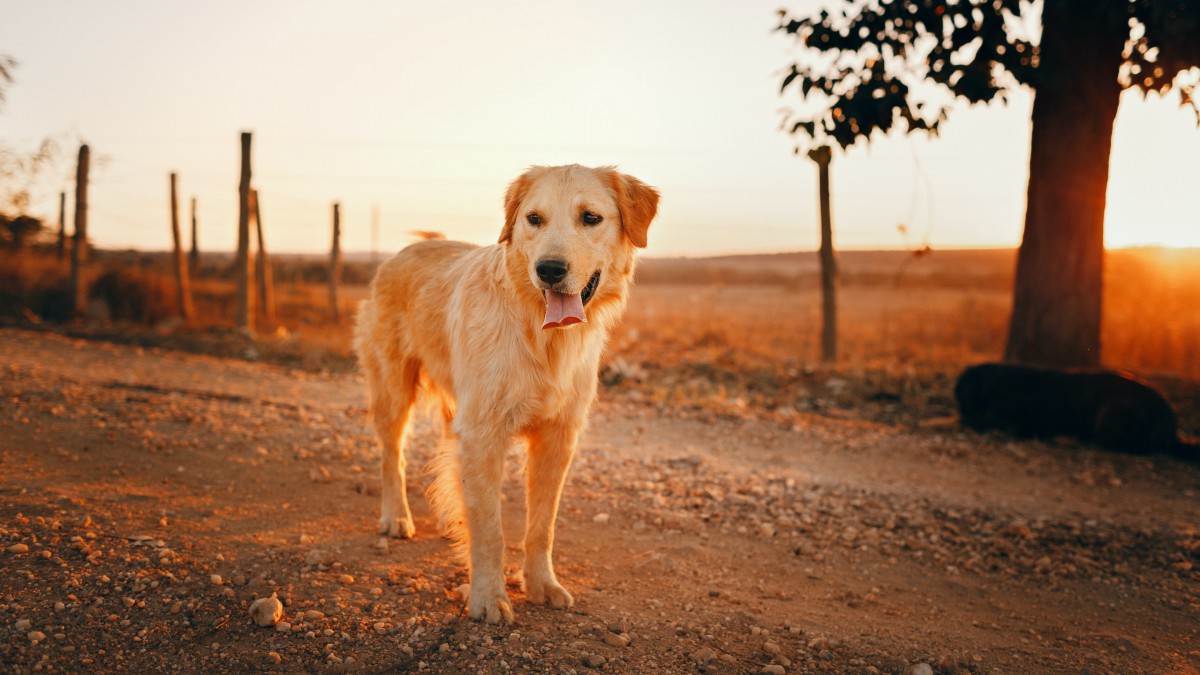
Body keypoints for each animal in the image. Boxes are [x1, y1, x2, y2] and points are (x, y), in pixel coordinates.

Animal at [350, 162, 662, 619]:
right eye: (534, 219)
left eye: (590, 218)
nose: (549, 269)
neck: (542, 336)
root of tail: (407, 250)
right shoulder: (484, 433)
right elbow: (490, 527)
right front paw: (487, 596)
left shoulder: (557, 439)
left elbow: (541, 526)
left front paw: (541, 584)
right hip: (394, 390)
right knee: (393, 455)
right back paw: (396, 517)